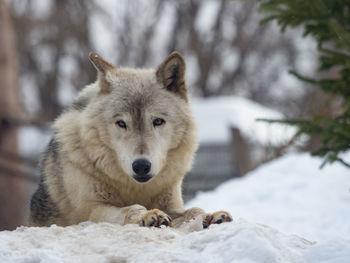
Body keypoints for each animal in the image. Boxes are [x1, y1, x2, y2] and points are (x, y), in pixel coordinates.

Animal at [29, 51, 232, 229]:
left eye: (157, 121)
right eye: (121, 123)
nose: (141, 166)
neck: (135, 188)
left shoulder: (171, 205)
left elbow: (193, 210)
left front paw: (210, 217)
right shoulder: (91, 211)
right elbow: (129, 209)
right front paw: (148, 215)